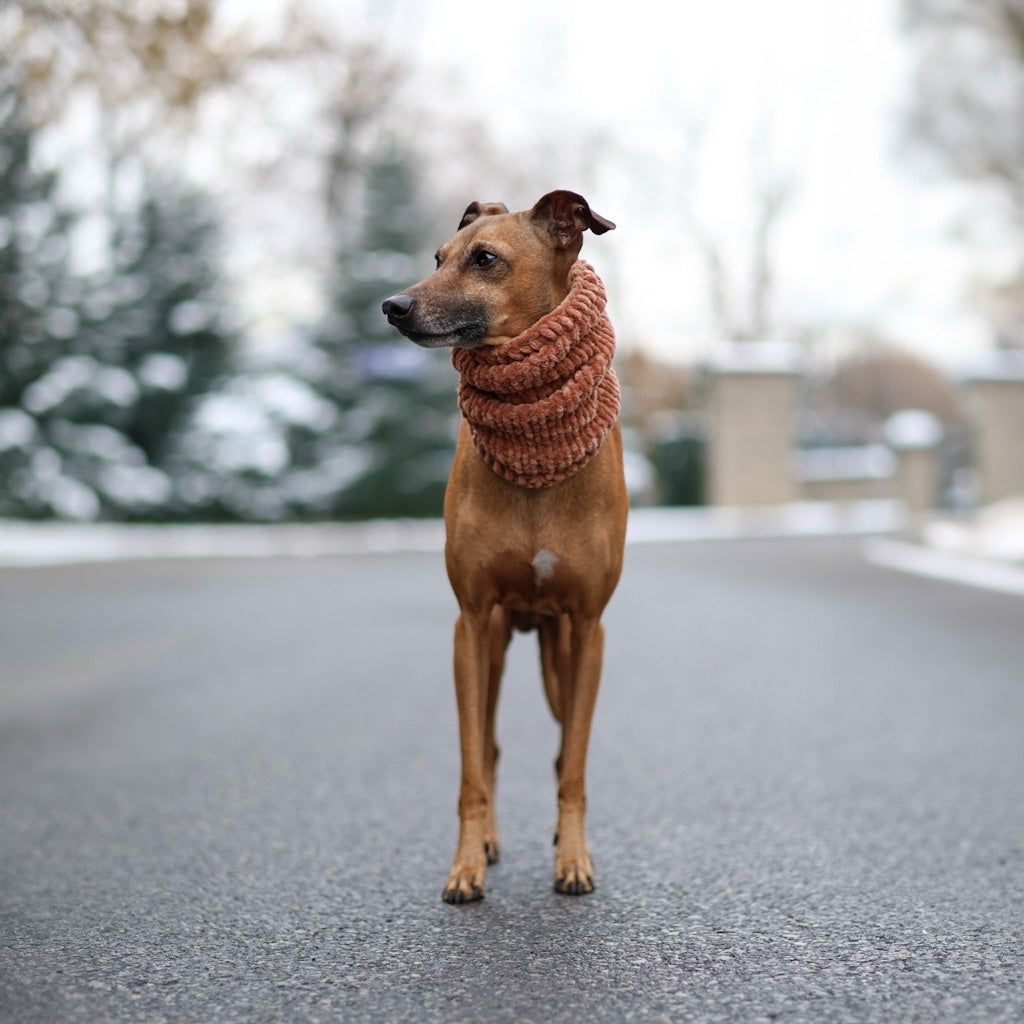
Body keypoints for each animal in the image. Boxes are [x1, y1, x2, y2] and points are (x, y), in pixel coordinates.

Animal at [382, 192, 626, 905]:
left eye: (485, 259)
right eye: (437, 257)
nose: (392, 306)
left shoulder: (587, 629)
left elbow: (573, 761)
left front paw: (573, 859)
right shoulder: (470, 623)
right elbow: (472, 764)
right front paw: (464, 865)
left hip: (556, 651)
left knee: (559, 746)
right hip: (490, 645)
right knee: (486, 747)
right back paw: (485, 847)